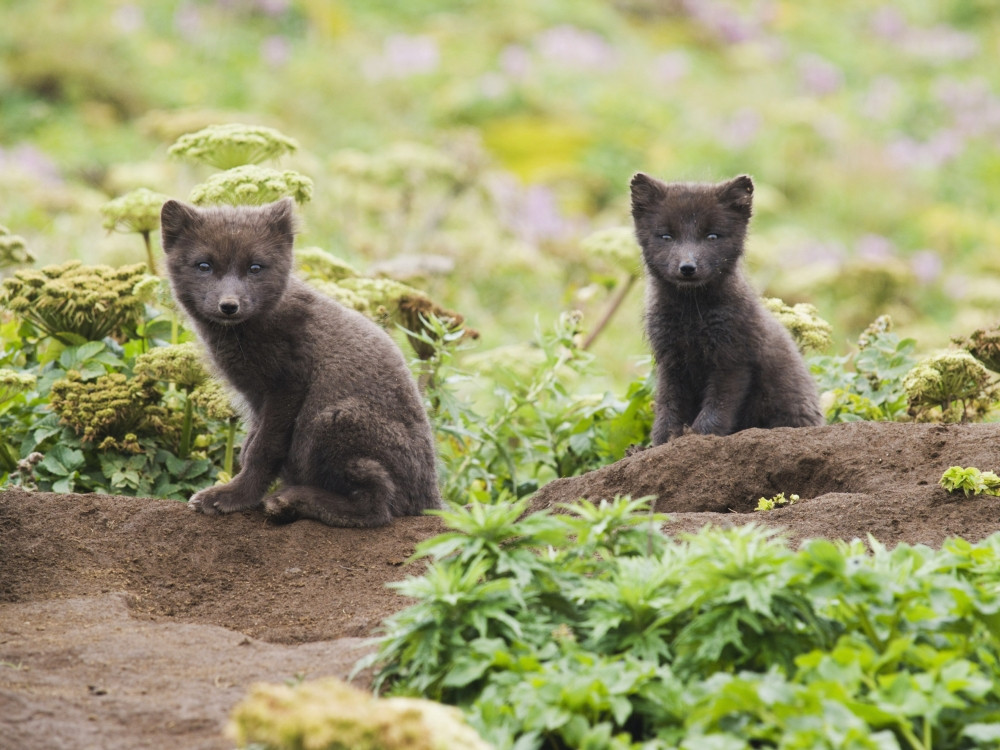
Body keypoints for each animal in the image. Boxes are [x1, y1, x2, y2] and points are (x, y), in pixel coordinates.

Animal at [159, 197, 442, 526]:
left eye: (255, 267)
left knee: (379, 507)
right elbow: (249, 445)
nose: (229, 306)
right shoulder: (257, 399)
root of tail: (431, 500)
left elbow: (262, 450)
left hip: (329, 420)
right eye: (204, 266)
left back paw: (291, 501)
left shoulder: (287, 386)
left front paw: (232, 497)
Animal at [630, 172, 824, 445]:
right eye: (666, 236)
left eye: (712, 236)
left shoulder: (733, 359)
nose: (687, 267)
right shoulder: (670, 361)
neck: (692, 317)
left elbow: (717, 408)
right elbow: (668, 407)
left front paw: (697, 437)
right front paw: (662, 442)